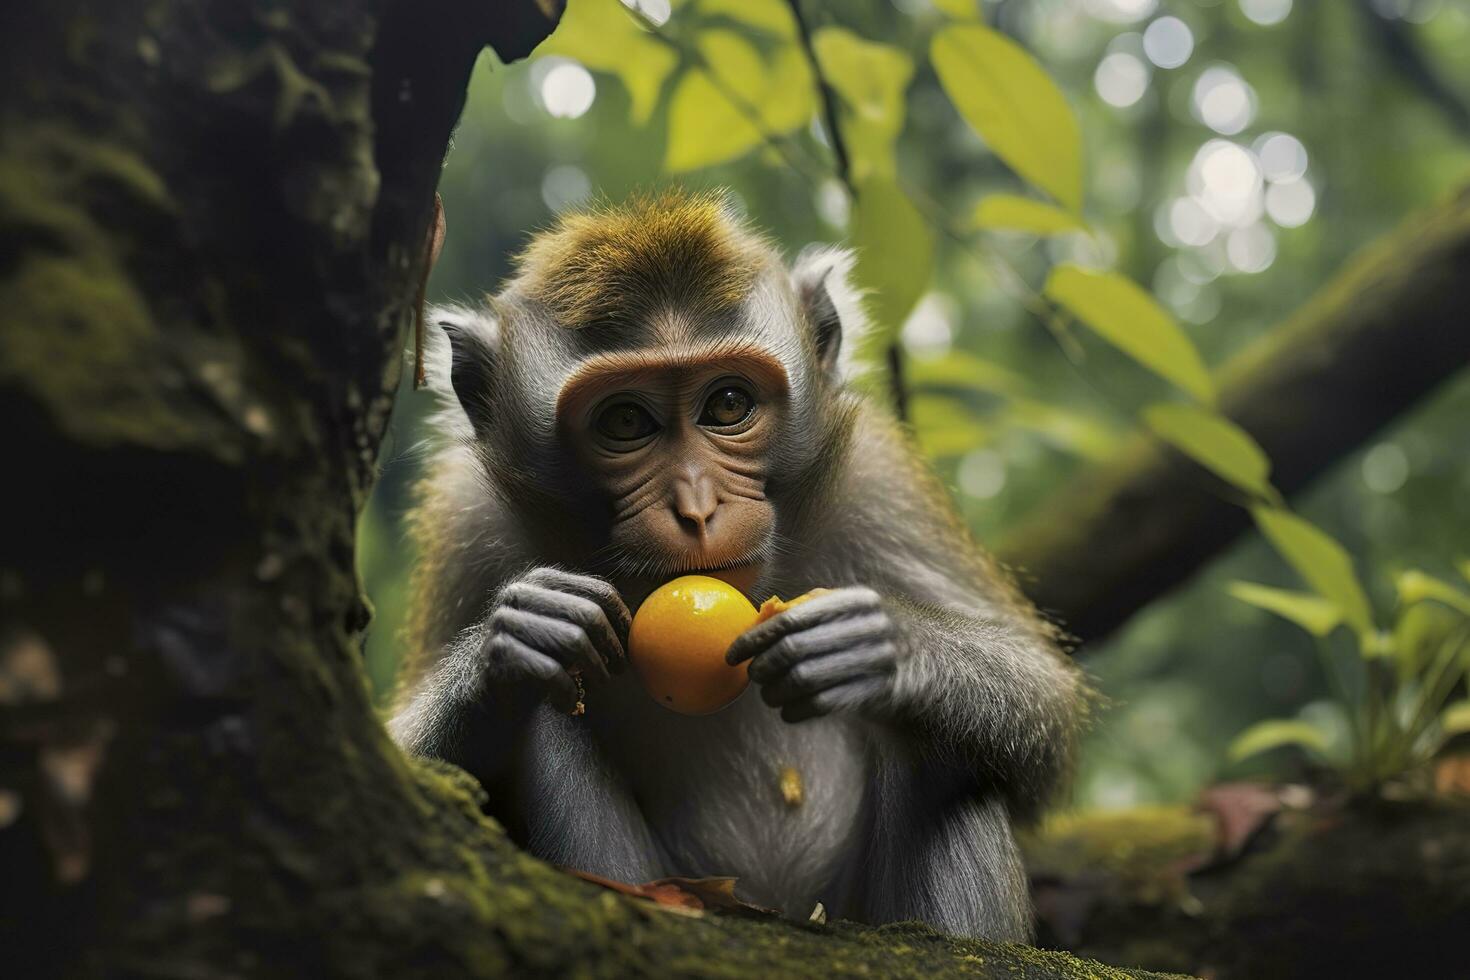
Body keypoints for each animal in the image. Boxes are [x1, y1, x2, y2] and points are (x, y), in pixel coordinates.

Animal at [385, 188, 1087, 940]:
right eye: (625, 421)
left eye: (727, 404)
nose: (697, 507)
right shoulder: (466, 518)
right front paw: (511, 641)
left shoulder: (877, 475)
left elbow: (1045, 699)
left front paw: (885, 647)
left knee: (941, 749)